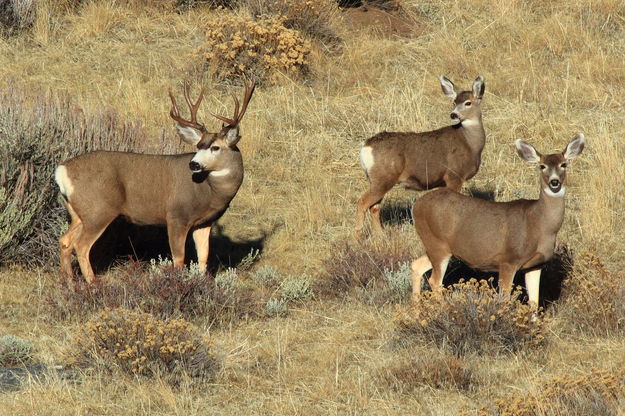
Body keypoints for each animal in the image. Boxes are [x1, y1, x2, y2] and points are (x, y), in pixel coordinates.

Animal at [55, 81, 256, 282]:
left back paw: (69, 282)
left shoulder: (204, 222)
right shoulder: (176, 216)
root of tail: (61, 171)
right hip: (98, 210)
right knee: (81, 246)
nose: (194, 164)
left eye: (215, 147)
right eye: (199, 146)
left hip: (79, 213)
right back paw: (93, 284)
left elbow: (203, 257)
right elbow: (179, 259)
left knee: (65, 241)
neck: (209, 192)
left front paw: (200, 282)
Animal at [354, 74, 486, 237]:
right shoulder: (454, 175)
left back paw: (381, 236)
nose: (453, 114)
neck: (469, 143)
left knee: (374, 207)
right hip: (383, 177)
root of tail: (366, 147)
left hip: (377, 179)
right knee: (362, 202)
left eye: (468, 102)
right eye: (454, 102)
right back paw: (358, 237)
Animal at [412, 135, 584, 304]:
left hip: (437, 246)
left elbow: (534, 301)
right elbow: (505, 298)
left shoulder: (535, 265)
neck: (540, 225)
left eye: (563, 164)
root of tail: (416, 206)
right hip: (437, 243)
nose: (554, 182)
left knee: (416, 265)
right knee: (435, 280)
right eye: (542, 166)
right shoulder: (508, 260)